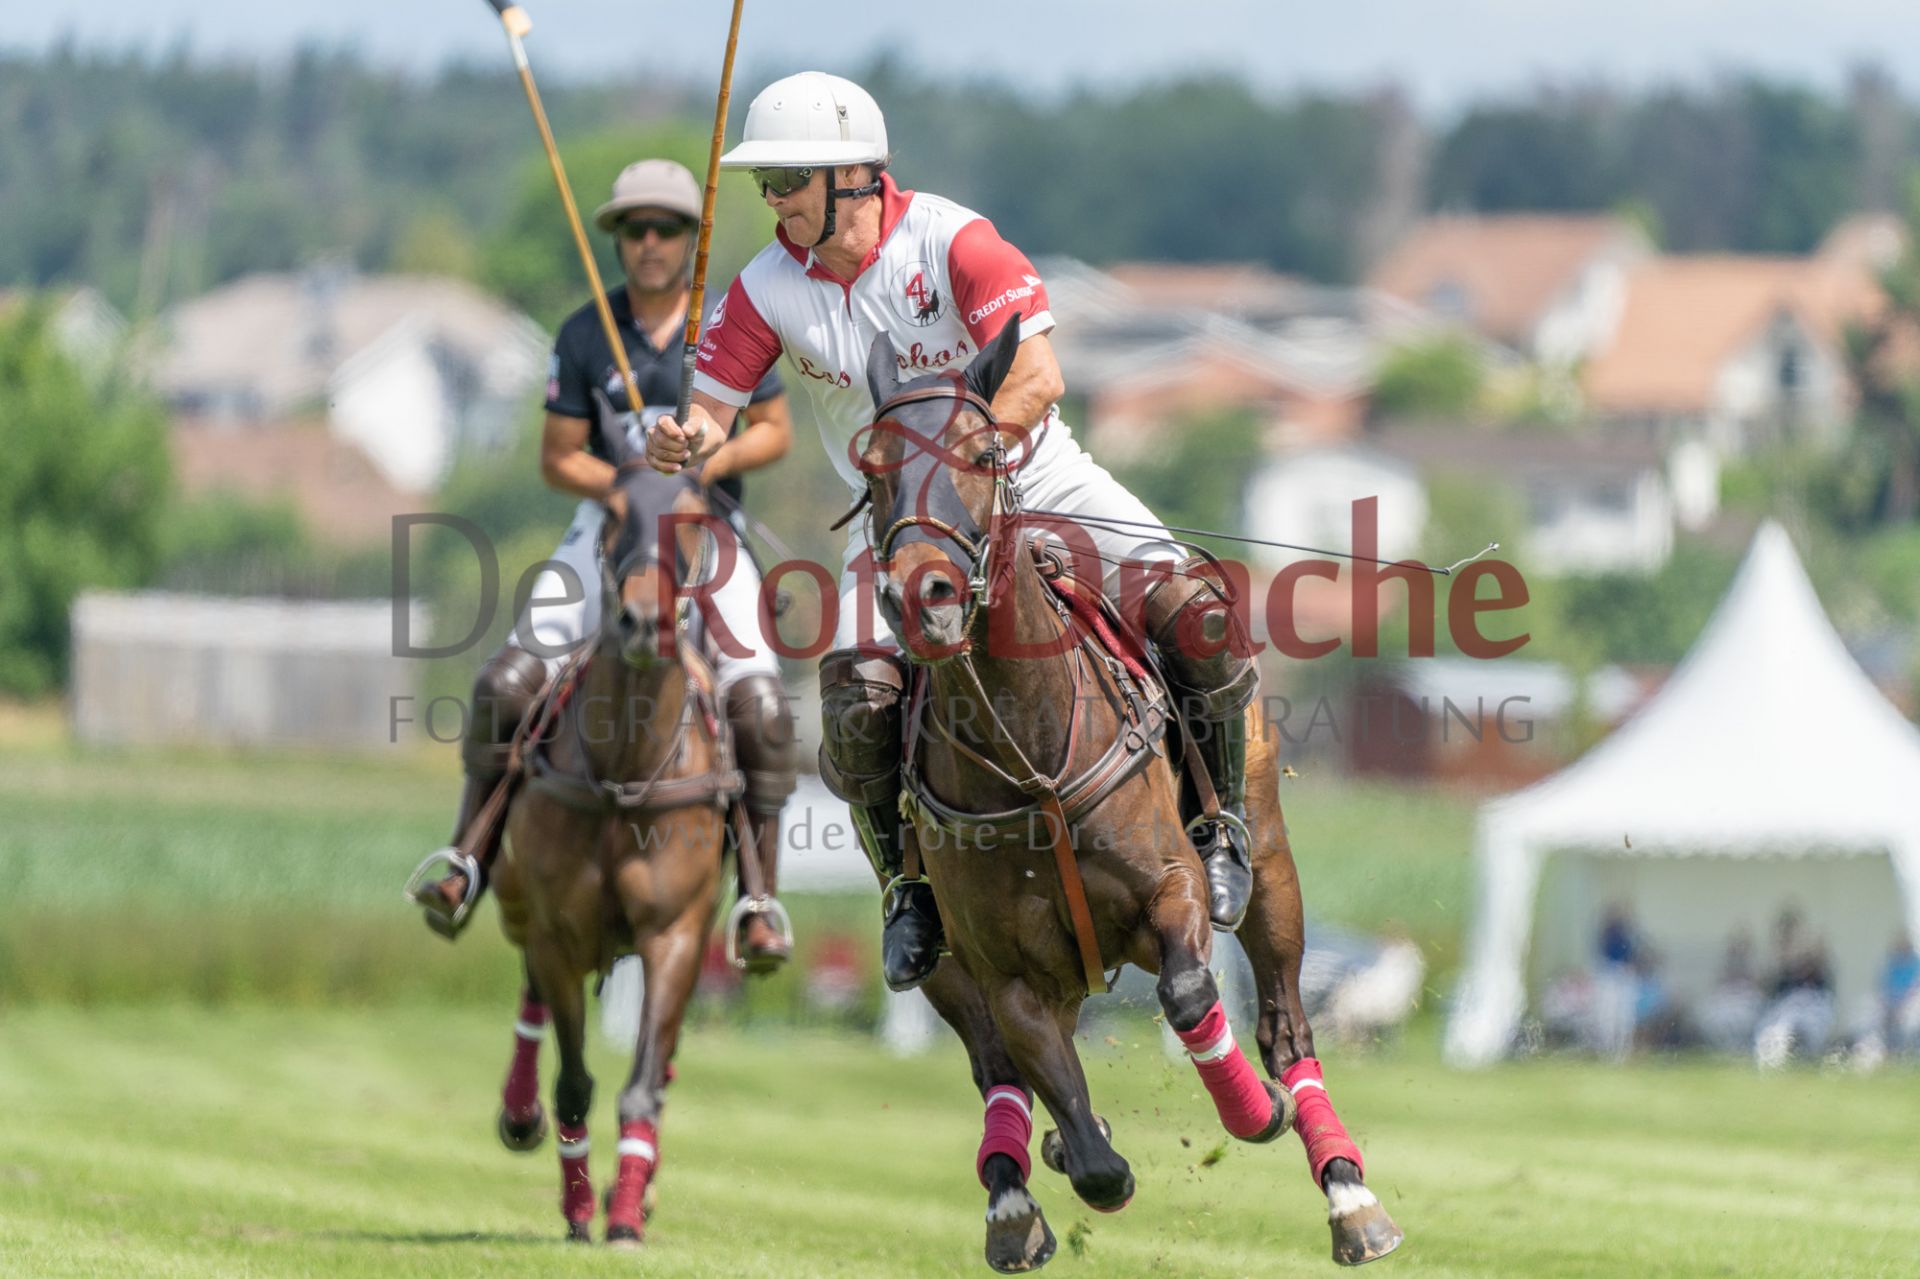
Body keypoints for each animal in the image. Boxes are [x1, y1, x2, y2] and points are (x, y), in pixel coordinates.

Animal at [483, 433, 746, 1245]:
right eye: (614, 511)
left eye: (693, 517)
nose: (640, 621)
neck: (624, 767)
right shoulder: (557, 931)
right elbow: (574, 1082)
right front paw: (577, 1206)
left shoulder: (677, 934)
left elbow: (642, 1084)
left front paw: (627, 1211)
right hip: (516, 900)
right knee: (530, 998)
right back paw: (519, 1114)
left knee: (663, 1061)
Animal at [853, 319, 1404, 1268]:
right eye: (874, 465)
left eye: (984, 453)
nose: (921, 597)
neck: (1032, 755)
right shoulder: (1011, 976)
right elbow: (1092, 1157)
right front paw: (1065, 1152)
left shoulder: (1169, 892)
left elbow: (1188, 994)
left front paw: (1254, 1112)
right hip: (946, 965)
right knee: (993, 1066)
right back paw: (1012, 1198)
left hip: (1270, 860)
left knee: (1283, 1020)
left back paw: (1349, 1194)